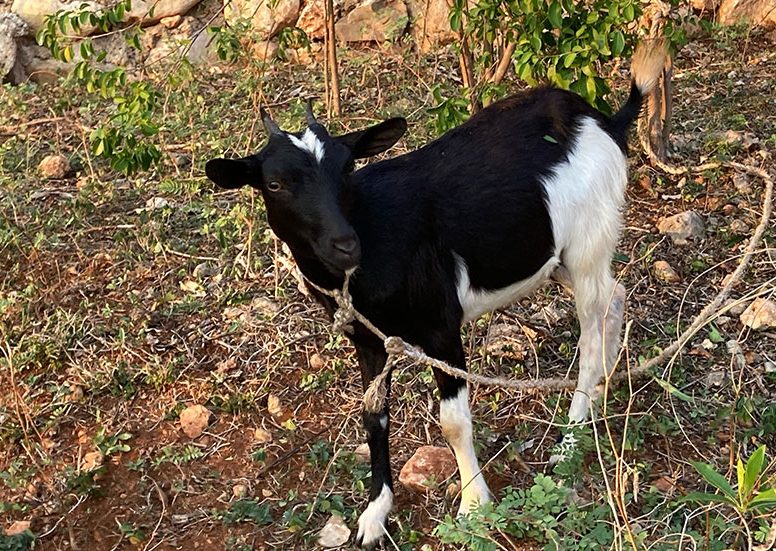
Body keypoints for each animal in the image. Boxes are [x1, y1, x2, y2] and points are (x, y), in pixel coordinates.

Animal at [205, 41, 667, 549]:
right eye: (274, 183)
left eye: (347, 168)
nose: (345, 244)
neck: (375, 233)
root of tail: (603, 120)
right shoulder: (369, 339)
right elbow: (373, 415)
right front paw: (374, 513)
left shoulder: (441, 328)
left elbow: (453, 421)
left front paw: (473, 505)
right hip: (557, 258)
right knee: (614, 298)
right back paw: (603, 394)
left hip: (587, 241)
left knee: (590, 330)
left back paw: (569, 440)